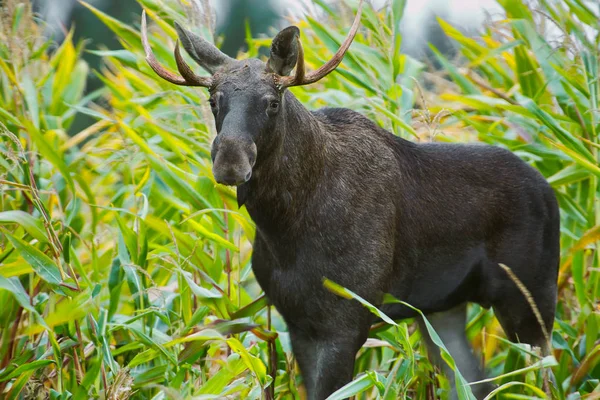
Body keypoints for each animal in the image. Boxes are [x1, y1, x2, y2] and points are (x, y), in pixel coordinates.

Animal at [142, 1, 564, 398]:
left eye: (272, 102)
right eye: (213, 99)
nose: (230, 160)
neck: (286, 226)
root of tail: (550, 191)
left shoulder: (347, 318)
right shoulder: (296, 320)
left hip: (531, 297)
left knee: (542, 377)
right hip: (442, 308)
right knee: (477, 381)